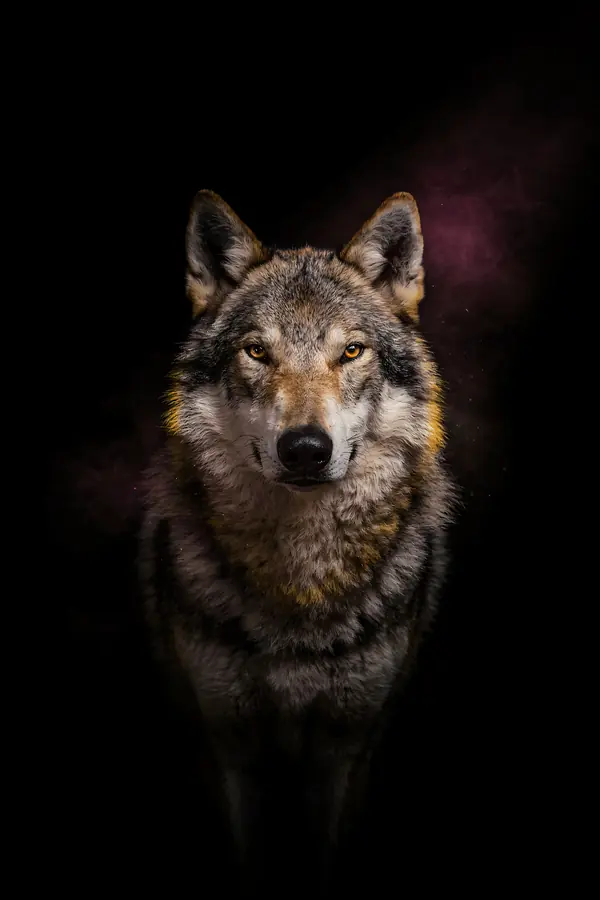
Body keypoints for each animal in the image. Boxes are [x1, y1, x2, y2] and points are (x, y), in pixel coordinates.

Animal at [139, 189, 453, 892]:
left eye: (353, 352)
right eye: (257, 352)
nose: (306, 449)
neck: (299, 579)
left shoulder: (345, 742)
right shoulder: (229, 742)